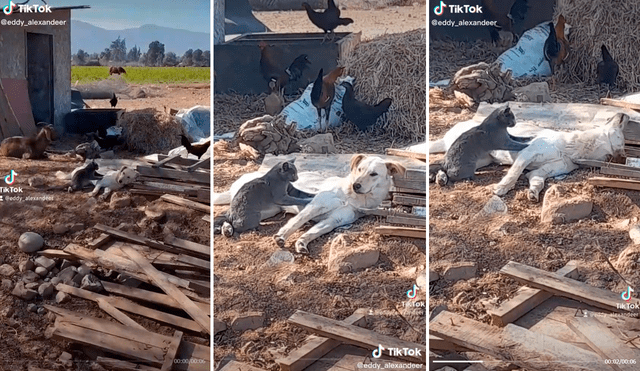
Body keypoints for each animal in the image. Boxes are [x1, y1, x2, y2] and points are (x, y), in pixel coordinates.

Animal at [272, 155, 404, 256]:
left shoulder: (333, 220)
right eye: (359, 169)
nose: (355, 185)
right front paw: (281, 236)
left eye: (374, 174)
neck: (352, 198)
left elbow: (312, 233)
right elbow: (296, 222)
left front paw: (301, 243)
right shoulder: (315, 206)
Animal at [428, 112, 628, 202]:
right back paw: (440, 177)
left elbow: (537, 180)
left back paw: (440, 177)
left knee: (442, 164)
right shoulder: (527, 153)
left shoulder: (542, 171)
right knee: (443, 163)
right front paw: (501, 188)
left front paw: (533, 192)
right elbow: (514, 174)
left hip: (480, 161)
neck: (572, 149)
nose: (623, 113)